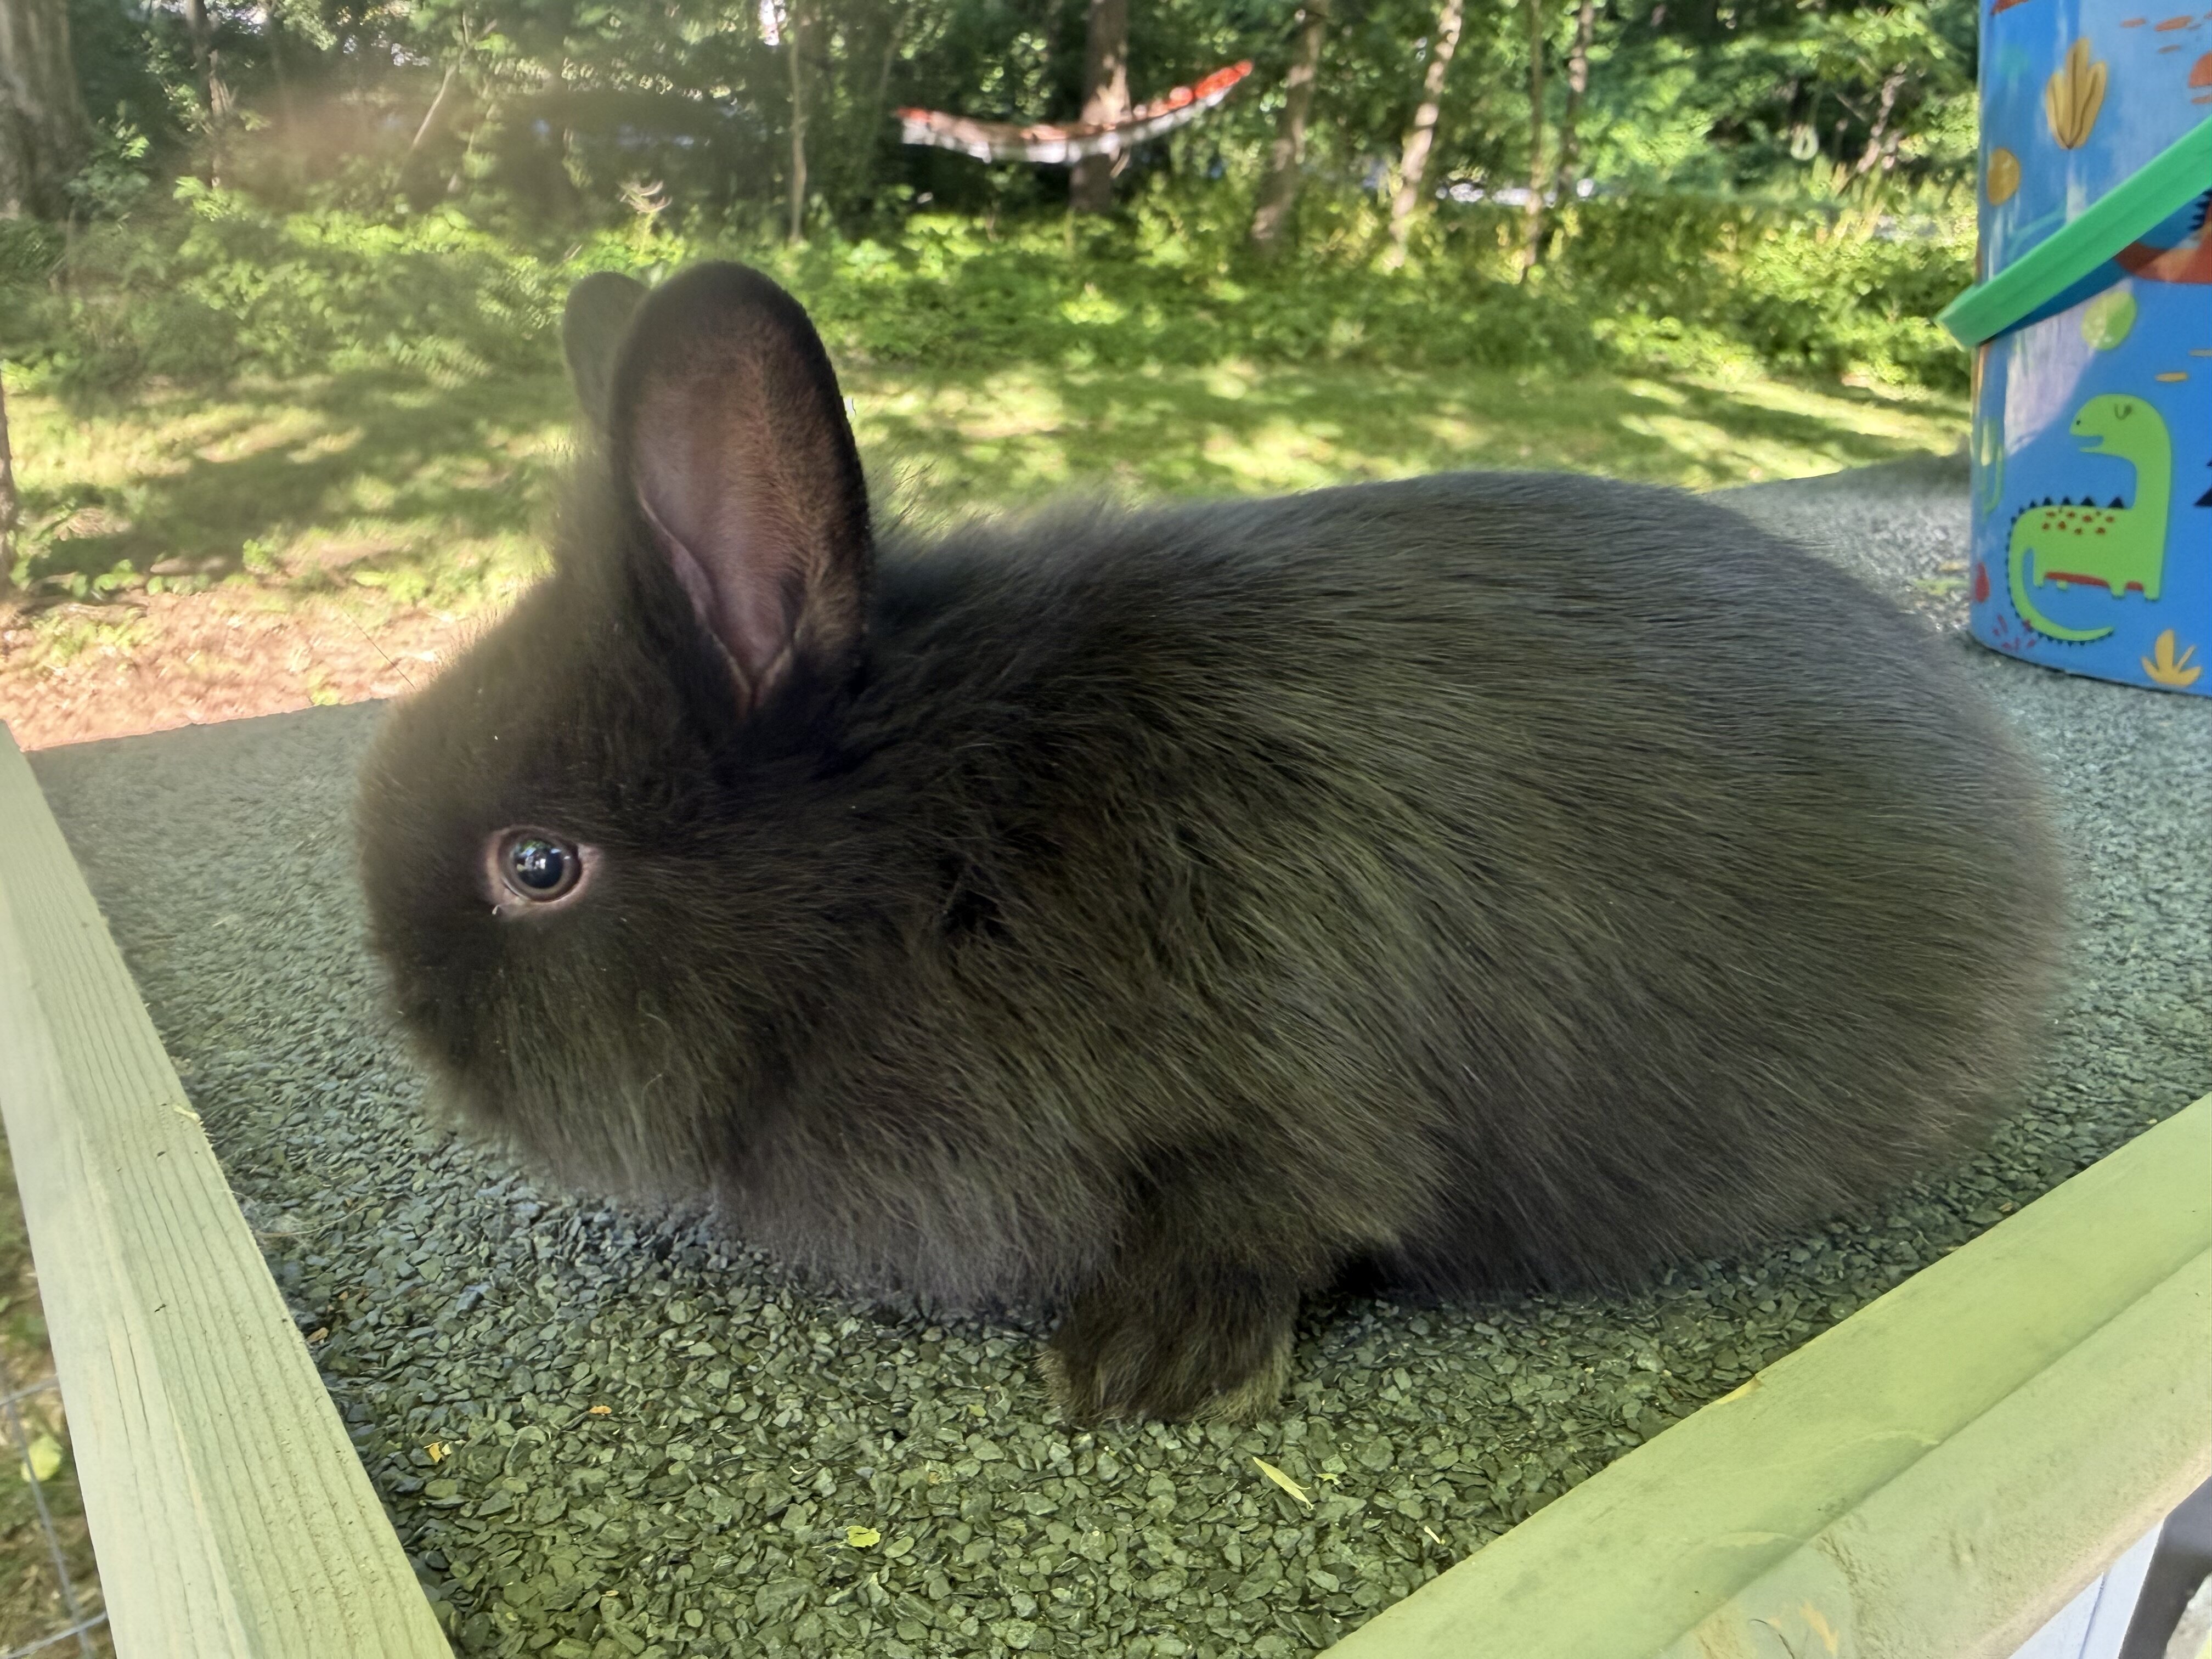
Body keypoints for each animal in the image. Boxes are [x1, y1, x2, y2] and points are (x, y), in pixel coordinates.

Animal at [353, 261, 2062, 1425]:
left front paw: (1137, 1372)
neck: (927, 864)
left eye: (537, 867)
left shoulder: (1285, 1097)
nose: (415, 1029)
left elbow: (1281, 1208)